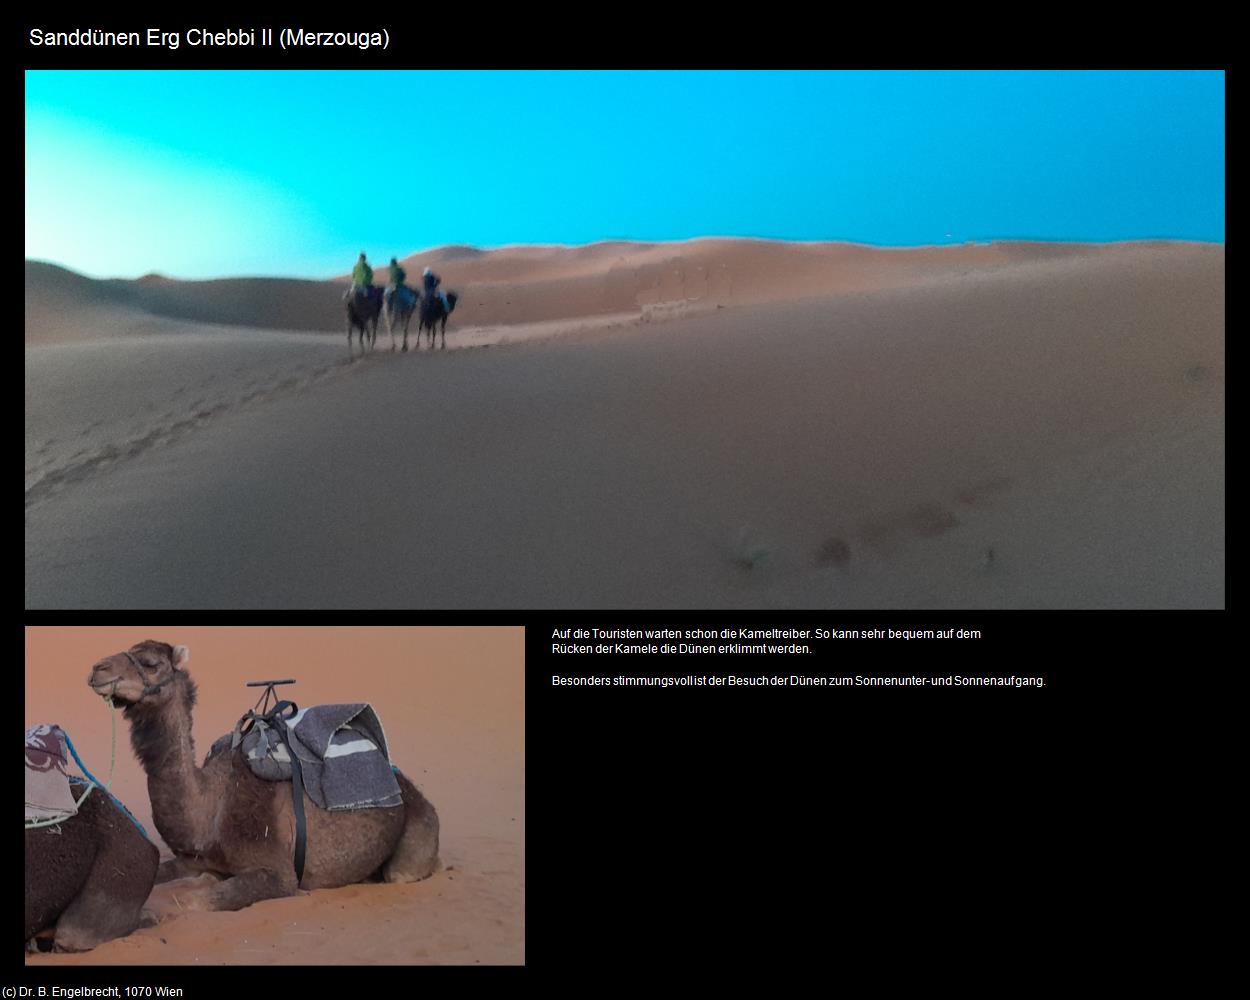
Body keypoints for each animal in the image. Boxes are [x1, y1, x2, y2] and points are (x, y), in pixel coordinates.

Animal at [89, 640, 440, 915]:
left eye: (151, 663)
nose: (98, 669)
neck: (212, 809)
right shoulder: (194, 860)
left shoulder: (278, 874)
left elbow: (190, 902)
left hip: (414, 835)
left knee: (401, 872)